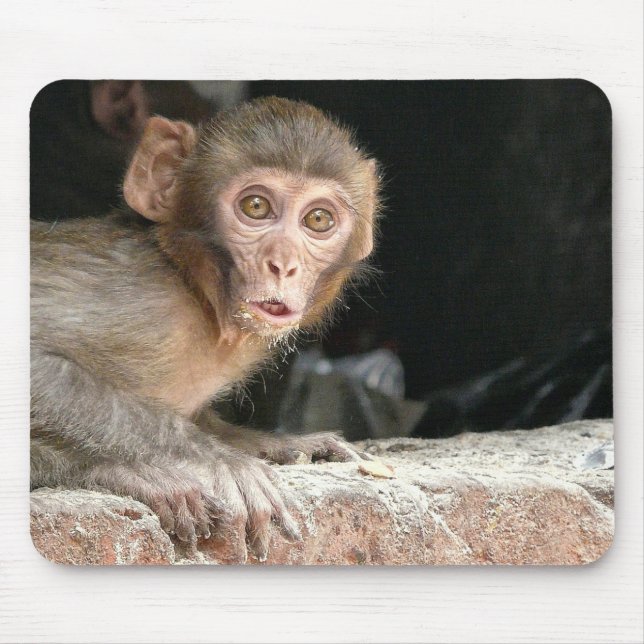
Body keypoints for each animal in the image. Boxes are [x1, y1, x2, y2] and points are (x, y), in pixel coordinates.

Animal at [30, 96, 381, 561]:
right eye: (256, 207)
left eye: (318, 219)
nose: (283, 264)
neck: (197, 292)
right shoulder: (141, 300)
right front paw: (218, 461)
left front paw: (279, 444)